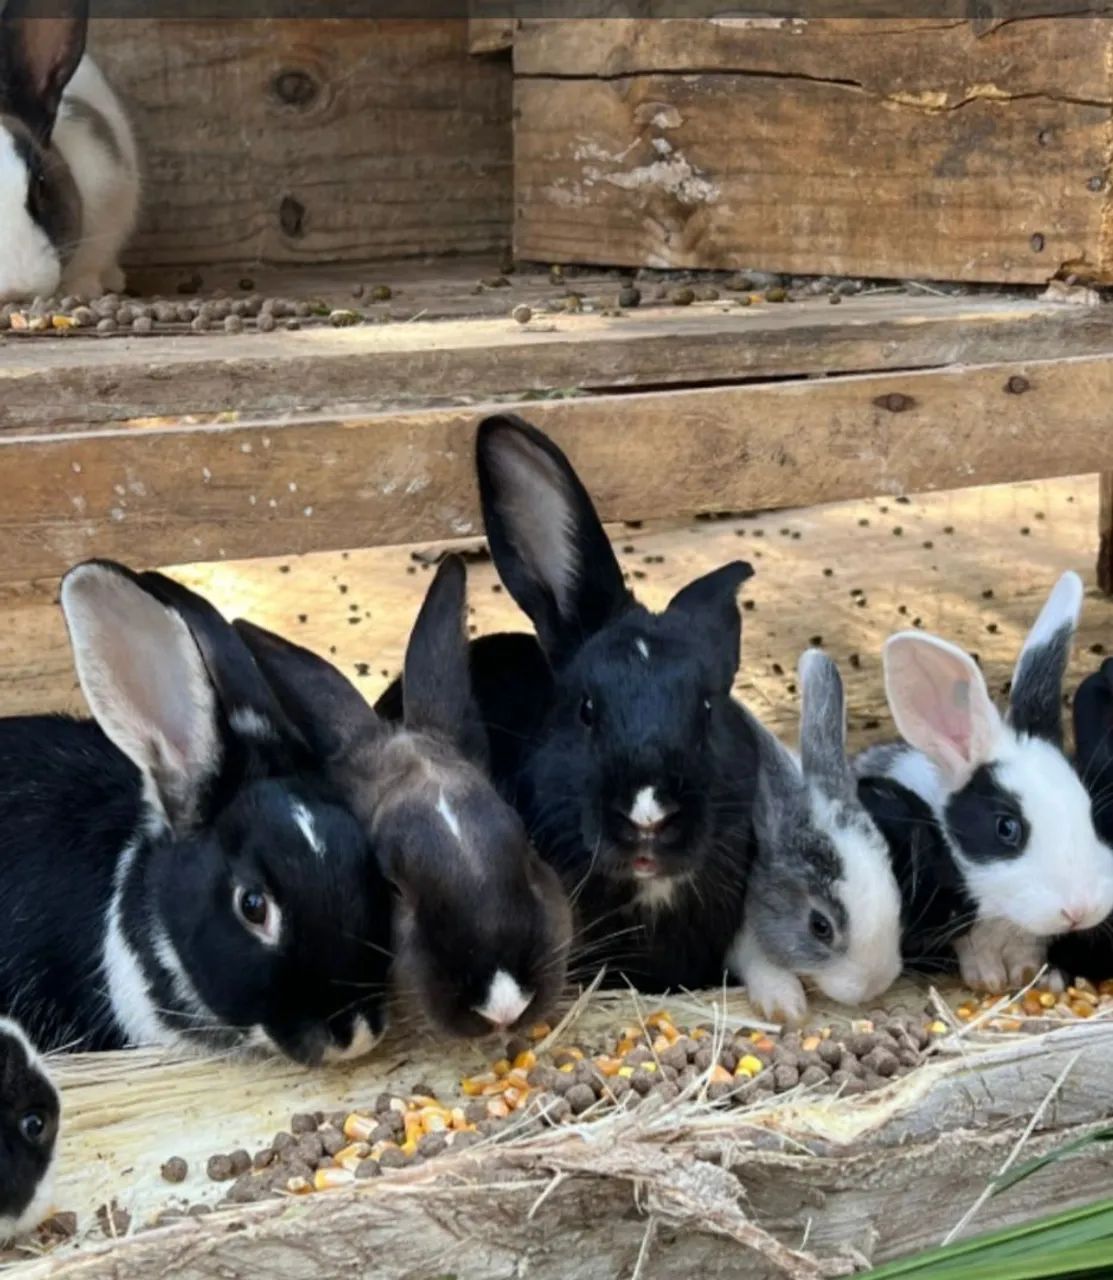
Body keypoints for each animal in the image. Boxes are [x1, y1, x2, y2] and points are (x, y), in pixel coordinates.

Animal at [860, 571, 1113, 992]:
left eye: (1091, 814)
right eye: (1006, 828)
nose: (1080, 910)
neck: (1005, 918)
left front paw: (1029, 975)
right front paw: (990, 982)